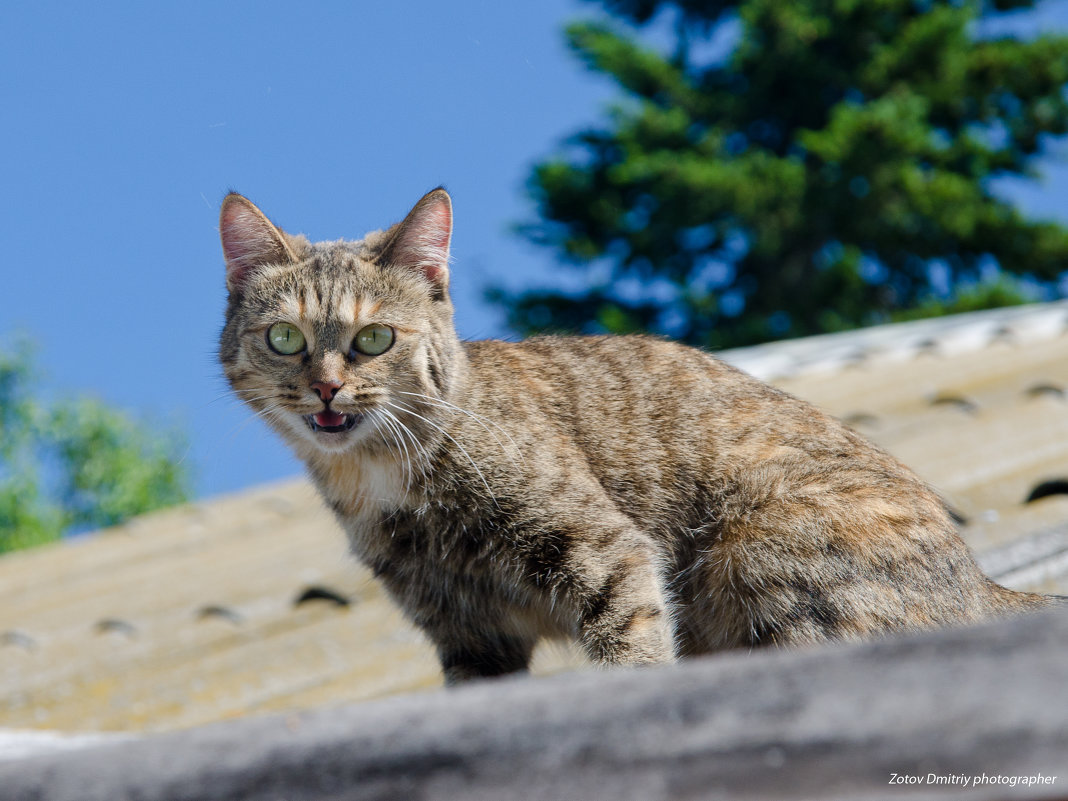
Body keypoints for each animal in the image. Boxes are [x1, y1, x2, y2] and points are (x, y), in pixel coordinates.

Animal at [218, 186, 1059, 683]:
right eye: (286, 338)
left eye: (374, 339)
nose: (326, 386)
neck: (380, 476)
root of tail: (988, 585)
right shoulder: (466, 630)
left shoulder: (606, 551)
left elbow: (633, 650)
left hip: (756, 548)